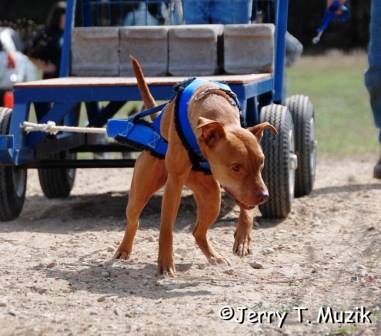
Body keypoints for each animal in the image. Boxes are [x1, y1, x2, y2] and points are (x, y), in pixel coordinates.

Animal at [113, 57, 276, 276]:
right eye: (236, 167)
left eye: (261, 163)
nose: (264, 196)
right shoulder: (174, 184)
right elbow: (166, 228)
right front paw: (165, 263)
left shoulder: (246, 190)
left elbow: (246, 209)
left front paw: (243, 237)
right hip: (141, 190)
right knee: (133, 220)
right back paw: (124, 249)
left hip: (211, 198)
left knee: (198, 231)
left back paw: (214, 257)